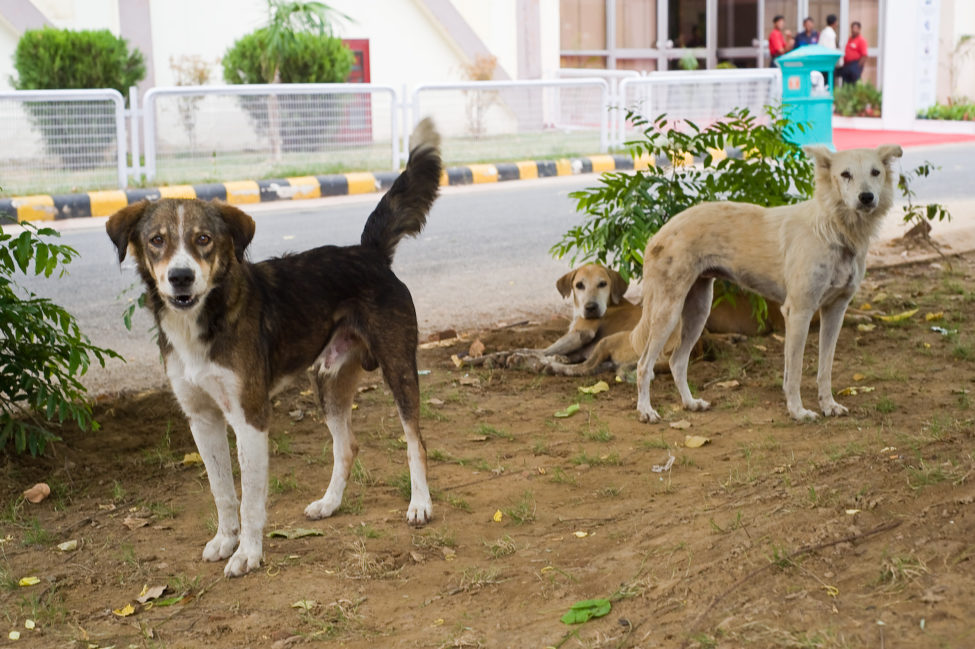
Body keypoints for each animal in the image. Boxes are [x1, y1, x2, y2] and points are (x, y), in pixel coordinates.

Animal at [106, 119, 442, 576]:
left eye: (203, 239)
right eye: (157, 240)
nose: (180, 277)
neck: (205, 320)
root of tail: (367, 253)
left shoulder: (250, 416)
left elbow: (250, 498)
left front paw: (248, 553)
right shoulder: (201, 418)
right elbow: (223, 490)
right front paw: (225, 540)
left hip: (398, 366)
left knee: (415, 440)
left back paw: (420, 504)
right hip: (329, 380)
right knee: (347, 445)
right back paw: (329, 503)